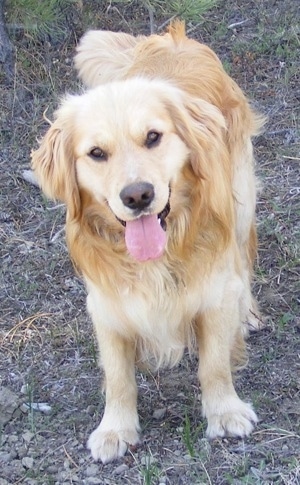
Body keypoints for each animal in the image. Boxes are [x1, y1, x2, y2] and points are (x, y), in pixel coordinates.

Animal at [31, 21, 264, 462]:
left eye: (153, 137)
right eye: (96, 153)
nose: (137, 195)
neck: (158, 257)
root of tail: (172, 36)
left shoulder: (215, 292)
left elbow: (213, 363)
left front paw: (224, 412)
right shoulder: (106, 304)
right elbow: (118, 376)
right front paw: (115, 429)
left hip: (241, 203)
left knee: (243, 261)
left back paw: (249, 314)